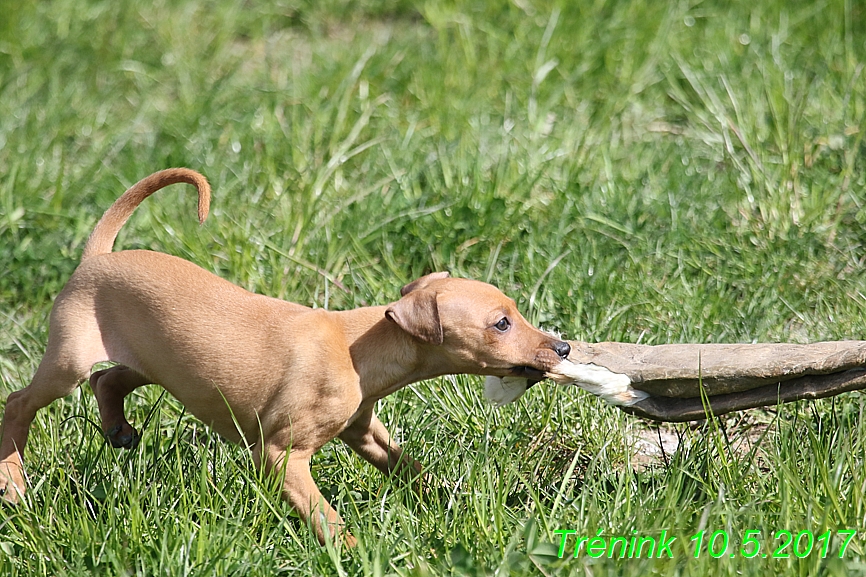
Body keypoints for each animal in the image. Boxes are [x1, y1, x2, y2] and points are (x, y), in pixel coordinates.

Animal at [0, 168, 572, 544]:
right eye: (501, 324)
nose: (564, 347)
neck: (358, 346)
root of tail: (97, 258)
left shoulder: (363, 430)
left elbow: (407, 466)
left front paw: (446, 498)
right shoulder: (281, 455)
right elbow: (325, 516)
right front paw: (353, 551)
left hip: (152, 359)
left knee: (110, 381)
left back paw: (117, 429)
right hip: (69, 361)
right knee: (20, 402)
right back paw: (13, 482)